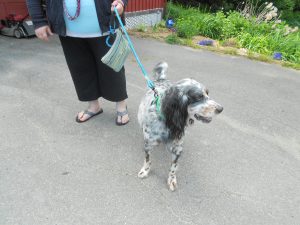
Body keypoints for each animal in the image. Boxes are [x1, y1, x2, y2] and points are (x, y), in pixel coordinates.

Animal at [137, 62, 223, 191]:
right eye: (199, 97)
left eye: (208, 93)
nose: (221, 109)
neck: (168, 121)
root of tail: (161, 80)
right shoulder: (148, 144)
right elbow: (147, 159)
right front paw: (145, 171)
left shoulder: (177, 148)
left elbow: (173, 167)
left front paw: (171, 180)